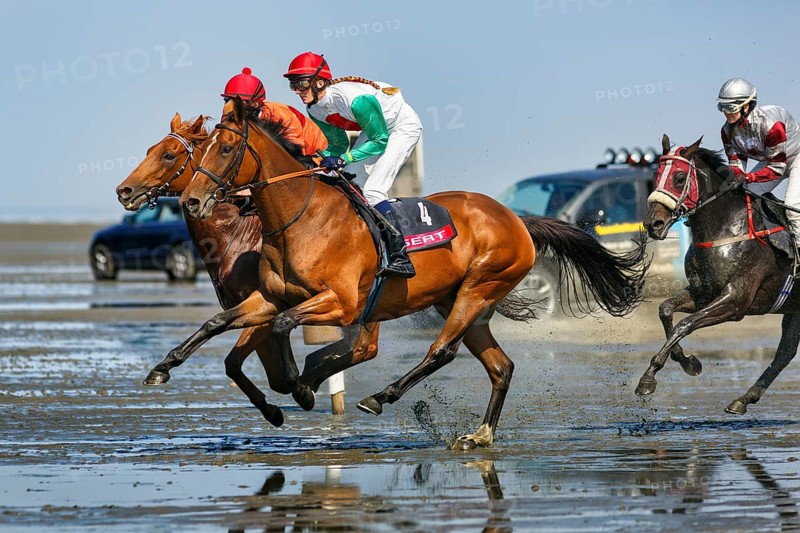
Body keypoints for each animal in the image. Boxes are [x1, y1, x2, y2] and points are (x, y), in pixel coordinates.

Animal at [115, 112, 380, 427]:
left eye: (168, 155)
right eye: (149, 150)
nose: (124, 191)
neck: (235, 234)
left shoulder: (270, 306)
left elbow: (263, 369)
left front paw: (301, 388)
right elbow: (238, 362)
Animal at [152, 98, 648, 449]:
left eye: (227, 148)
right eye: (200, 150)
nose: (193, 200)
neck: (300, 218)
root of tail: (517, 220)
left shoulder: (341, 303)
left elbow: (282, 326)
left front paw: (300, 386)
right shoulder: (269, 296)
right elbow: (218, 321)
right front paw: (162, 367)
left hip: (478, 289)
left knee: (441, 351)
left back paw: (380, 397)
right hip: (462, 301)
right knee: (500, 366)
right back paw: (480, 434)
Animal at [638, 133, 800, 415]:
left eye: (679, 177)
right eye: (656, 175)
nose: (653, 224)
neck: (727, 230)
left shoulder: (736, 300)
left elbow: (684, 324)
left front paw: (648, 378)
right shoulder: (703, 291)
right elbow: (666, 310)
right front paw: (688, 361)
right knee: (785, 352)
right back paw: (742, 400)